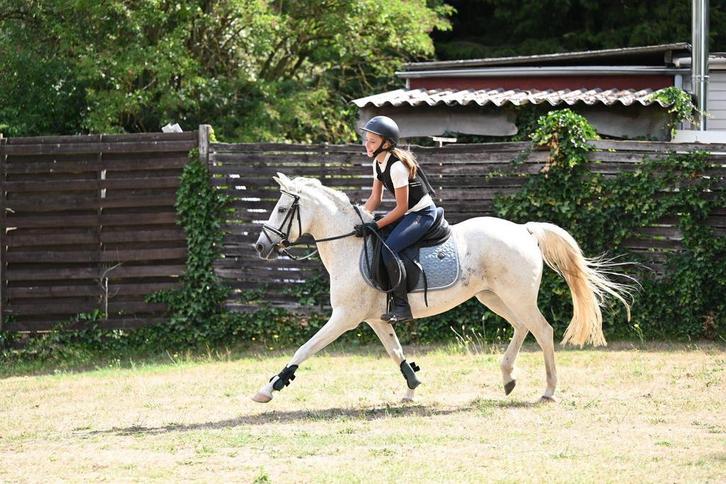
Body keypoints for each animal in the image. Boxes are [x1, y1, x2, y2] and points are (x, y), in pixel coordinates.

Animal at [251, 172, 632, 404]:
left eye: (282, 208)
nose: (260, 246)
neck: (350, 245)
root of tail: (524, 230)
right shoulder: (374, 319)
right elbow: (396, 352)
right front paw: (411, 388)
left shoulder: (345, 317)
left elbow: (304, 349)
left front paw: (269, 388)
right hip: (493, 295)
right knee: (523, 327)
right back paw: (508, 377)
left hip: (515, 295)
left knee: (543, 330)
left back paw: (549, 390)